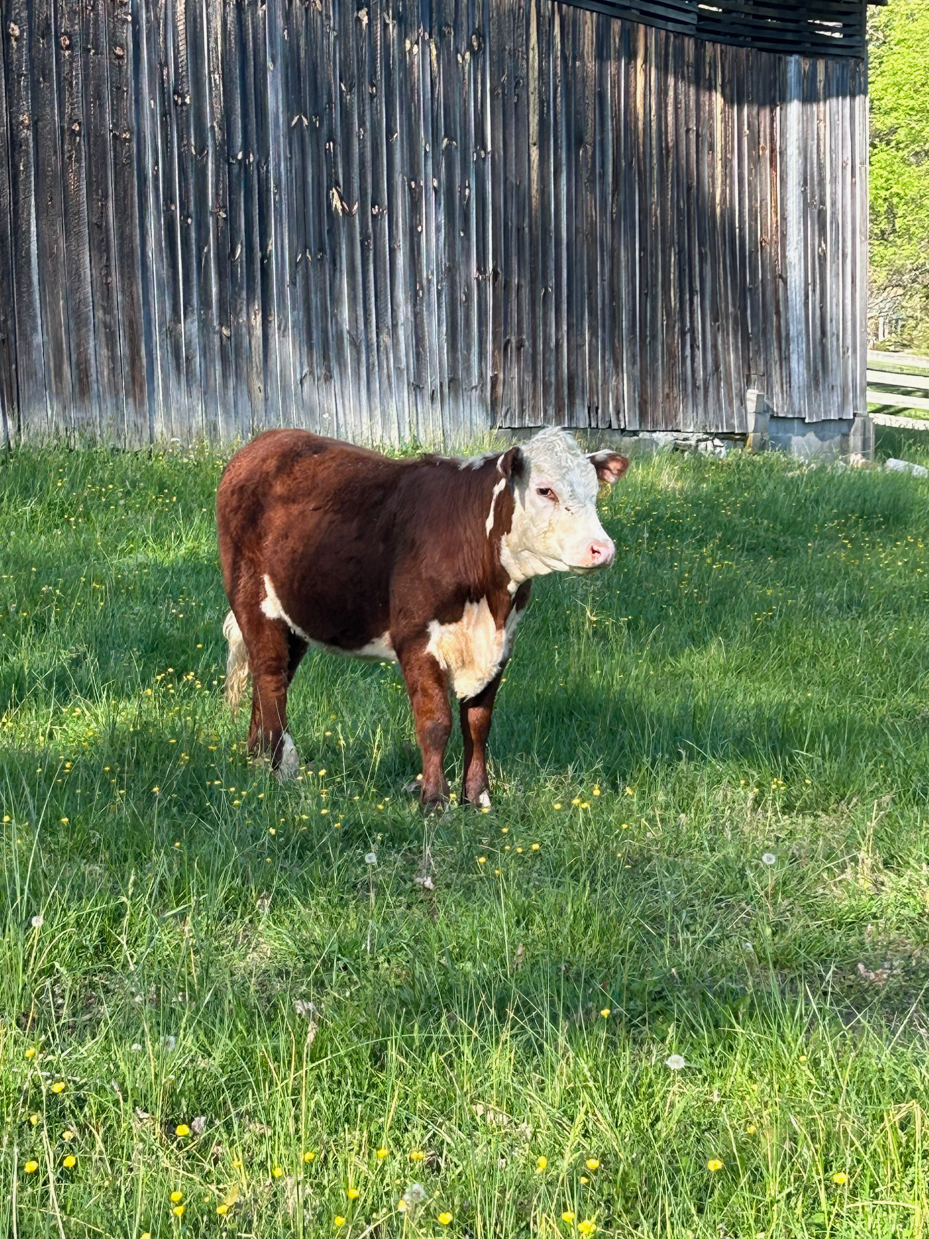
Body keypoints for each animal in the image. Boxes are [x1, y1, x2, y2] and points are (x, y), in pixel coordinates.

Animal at [217, 427, 628, 807]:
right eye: (545, 491)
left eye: (594, 492)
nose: (603, 549)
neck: (489, 599)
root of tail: (265, 441)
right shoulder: (416, 638)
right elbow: (435, 722)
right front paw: (434, 801)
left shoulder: (501, 645)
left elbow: (478, 722)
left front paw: (478, 798)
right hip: (251, 597)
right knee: (270, 675)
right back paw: (281, 766)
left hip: (297, 614)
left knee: (273, 676)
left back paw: (257, 758)